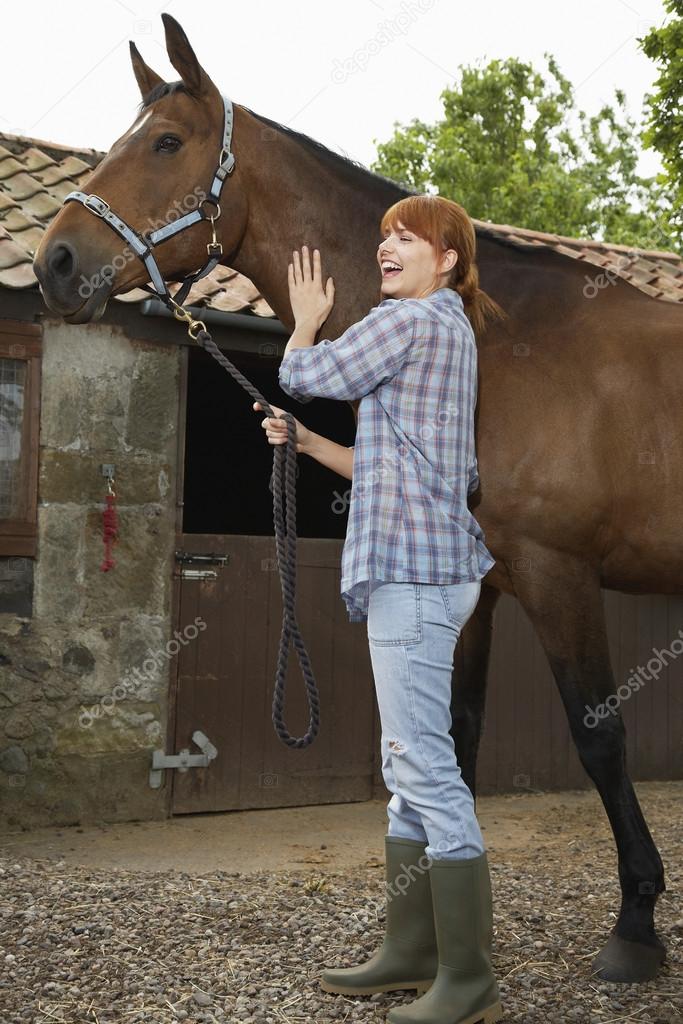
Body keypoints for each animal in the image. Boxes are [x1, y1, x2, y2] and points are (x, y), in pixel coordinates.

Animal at [34, 9, 679, 983]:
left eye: (166, 141)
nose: (54, 263)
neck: (501, 348)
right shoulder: (477, 582)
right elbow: (453, 734)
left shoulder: (557, 573)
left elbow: (599, 736)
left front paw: (635, 924)